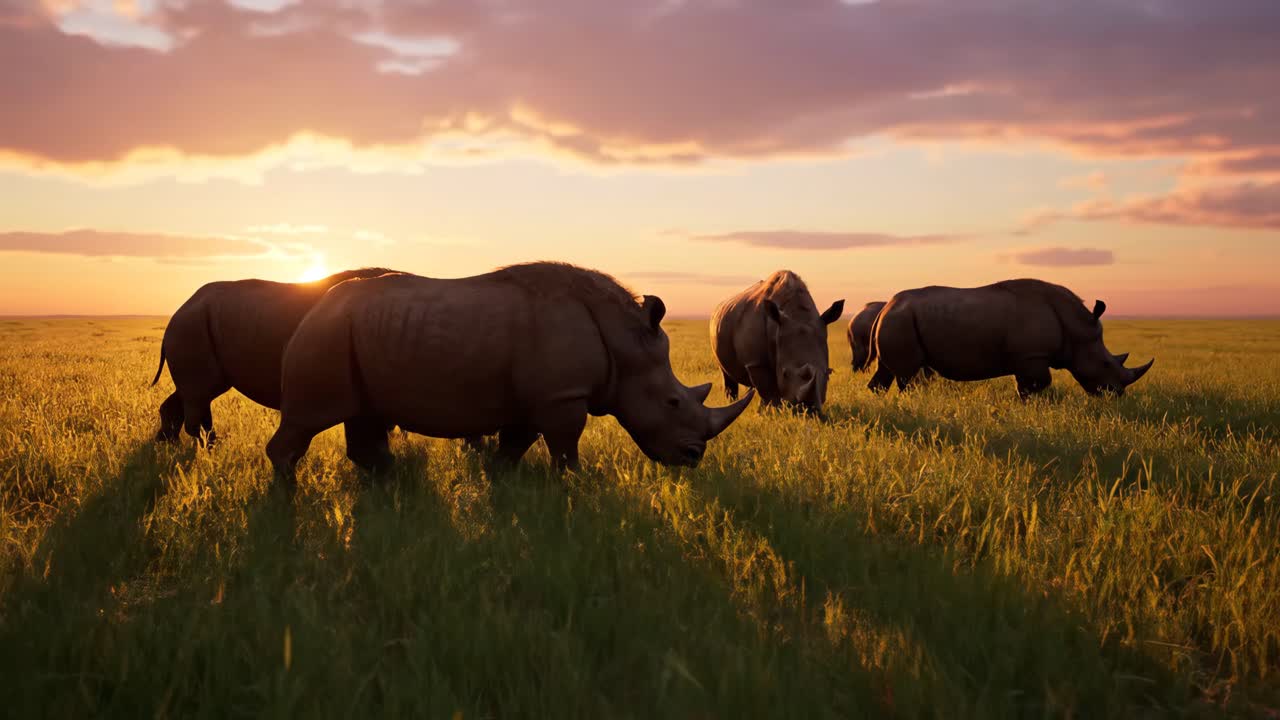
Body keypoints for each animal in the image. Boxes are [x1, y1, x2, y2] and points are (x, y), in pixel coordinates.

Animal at [151, 268, 397, 444]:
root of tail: (177, 313)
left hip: (194, 325)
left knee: (192, 392)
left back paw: (168, 445)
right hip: (191, 326)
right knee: (201, 392)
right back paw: (207, 448)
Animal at [266, 262, 755, 484]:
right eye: (673, 402)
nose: (693, 458)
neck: (624, 339)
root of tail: (315, 307)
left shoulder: (538, 396)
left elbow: (516, 444)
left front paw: (500, 480)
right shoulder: (562, 395)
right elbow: (565, 447)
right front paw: (574, 487)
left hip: (351, 334)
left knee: (362, 415)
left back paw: (390, 483)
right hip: (328, 336)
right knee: (310, 418)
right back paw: (286, 495)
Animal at [710, 270, 844, 415]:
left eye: (828, 373)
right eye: (785, 374)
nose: (808, 410)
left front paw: (767, 412)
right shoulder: (757, 362)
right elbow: (769, 392)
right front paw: (774, 413)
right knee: (727, 374)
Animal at [868, 279, 1153, 398]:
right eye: (1105, 364)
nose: (1117, 394)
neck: (1077, 329)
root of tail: (885, 308)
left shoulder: (1027, 357)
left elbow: (1028, 384)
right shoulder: (1032, 356)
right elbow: (1037, 384)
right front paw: (1027, 404)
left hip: (897, 320)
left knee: (886, 372)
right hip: (900, 321)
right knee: (907, 376)